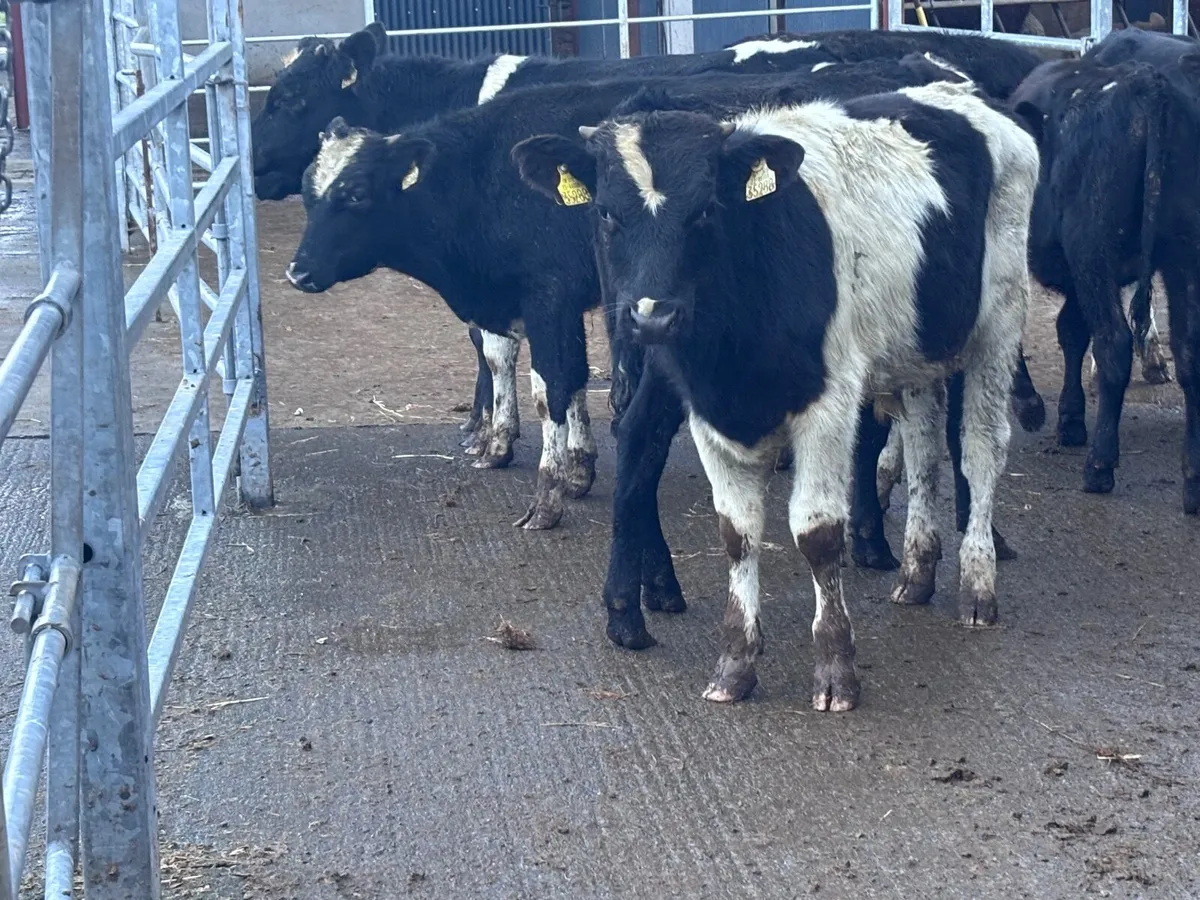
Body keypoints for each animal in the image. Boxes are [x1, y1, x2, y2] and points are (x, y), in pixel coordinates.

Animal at [253, 27, 1042, 475]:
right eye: (314, 191)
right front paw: (512, 440)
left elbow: (536, 368)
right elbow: (521, 363)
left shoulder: (547, 291)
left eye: (287, 97)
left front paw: (534, 456)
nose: (296, 270)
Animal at [513, 79, 1039, 707]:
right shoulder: (708, 411)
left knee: (980, 448)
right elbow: (736, 533)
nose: (651, 315)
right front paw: (735, 662)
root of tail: (958, 92)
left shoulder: (830, 406)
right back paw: (917, 570)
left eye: (706, 210)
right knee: (922, 446)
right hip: (918, 347)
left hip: (998, 323)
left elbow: (817, 533)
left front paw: (836, 668)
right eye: (606, 213)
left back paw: (978, 585)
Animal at [1010, 55, 1200, 513]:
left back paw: (1099, 465)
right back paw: (1192, 481)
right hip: (1182, 254)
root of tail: (1148, 84)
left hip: (1093, 247)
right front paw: (1070, 416)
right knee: (1189, 353)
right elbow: (1071, 330)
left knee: (1114, 342)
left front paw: (1032, 404)